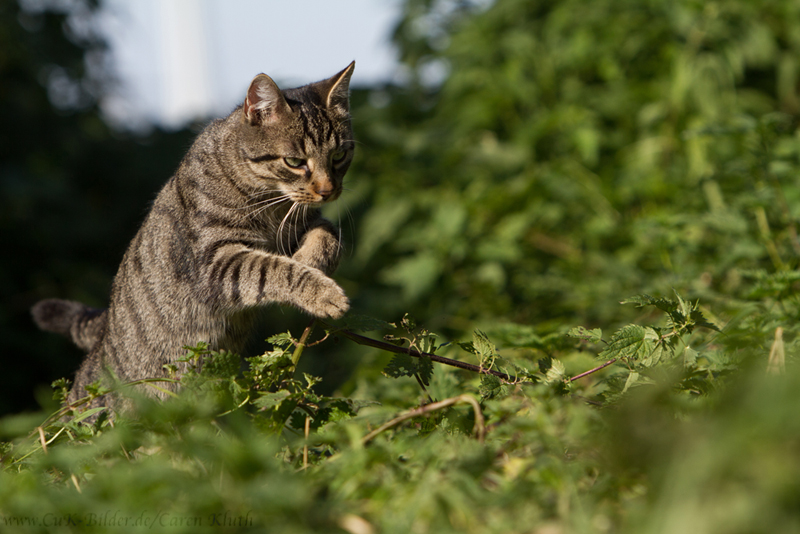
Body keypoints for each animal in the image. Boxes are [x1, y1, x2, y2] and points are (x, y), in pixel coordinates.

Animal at [31, 61, 354, 410]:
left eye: (339, 156)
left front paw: (311, 259)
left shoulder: (303, 221)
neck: (269, 202)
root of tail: (101, 338)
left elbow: (329, 233)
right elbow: (274, 268)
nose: (328, 190)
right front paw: (325, 294)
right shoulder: (214, 262)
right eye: (294, 162)